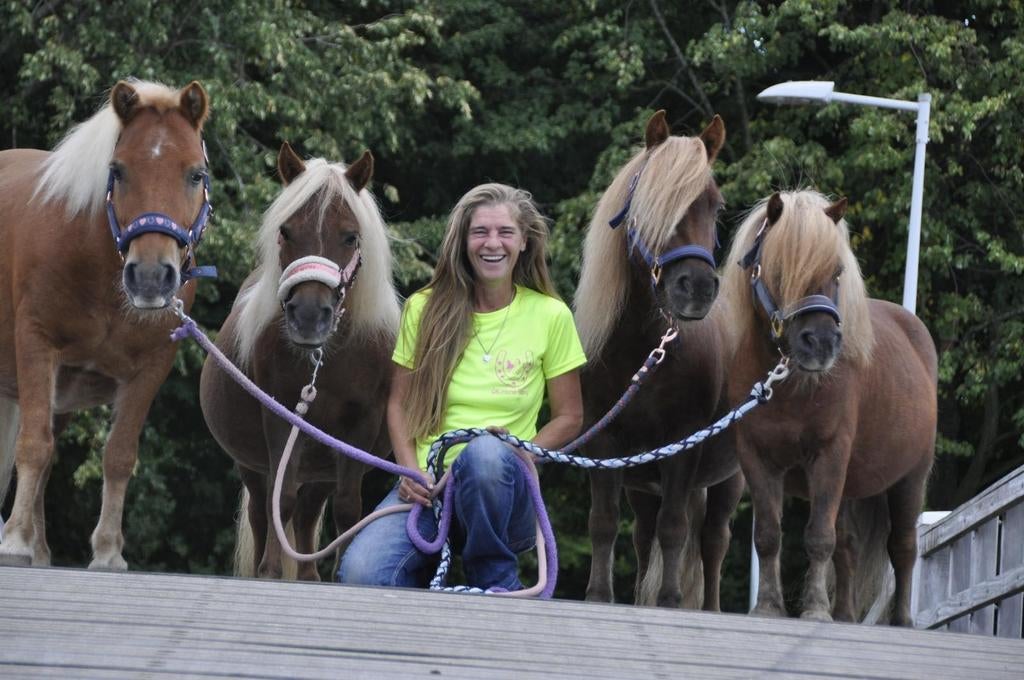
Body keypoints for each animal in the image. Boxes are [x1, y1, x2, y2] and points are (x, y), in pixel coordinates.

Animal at [0, 80, 213, 569]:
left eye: (195, 174)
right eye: (118, 170)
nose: (150, 276)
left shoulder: (151, 368)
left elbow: (118, 455)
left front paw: (108, 550)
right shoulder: (36, 344)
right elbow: (33, 445)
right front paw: (14, 541)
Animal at [199, 143, 399, 580]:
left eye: (350, 236)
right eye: (286, 231)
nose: (309, 316)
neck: (325, 363)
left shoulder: (358, 428)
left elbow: (347, 507)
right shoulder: (281, 417)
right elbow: (282, 500)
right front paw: (271, 571)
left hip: (322, 463)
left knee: (308, 516)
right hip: (253, 465)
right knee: (264, 511)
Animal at [574, 110, 745, 609]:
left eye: (715, 205)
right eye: (648, 204)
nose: (697, 287)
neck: (642, 353)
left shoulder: (682, 446)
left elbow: (676, 529)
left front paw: (669, 600)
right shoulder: (605, 445)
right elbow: (604, 523)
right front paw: (598, 596)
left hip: (728, 481)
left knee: (712, 540)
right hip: (643, 483)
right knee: (644, 538)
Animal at [720, 190, 937, 624]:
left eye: (837, 271)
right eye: (779, 268)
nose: (820, 343)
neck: (791, 389)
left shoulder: (830, 454)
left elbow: (819, 537)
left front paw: (816, 611)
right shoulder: (756, 456)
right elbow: (768, 535)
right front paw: (768, 607)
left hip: (911, 477)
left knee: (903, 546)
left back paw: (902, 620)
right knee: (849, 546)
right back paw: (847, 615)